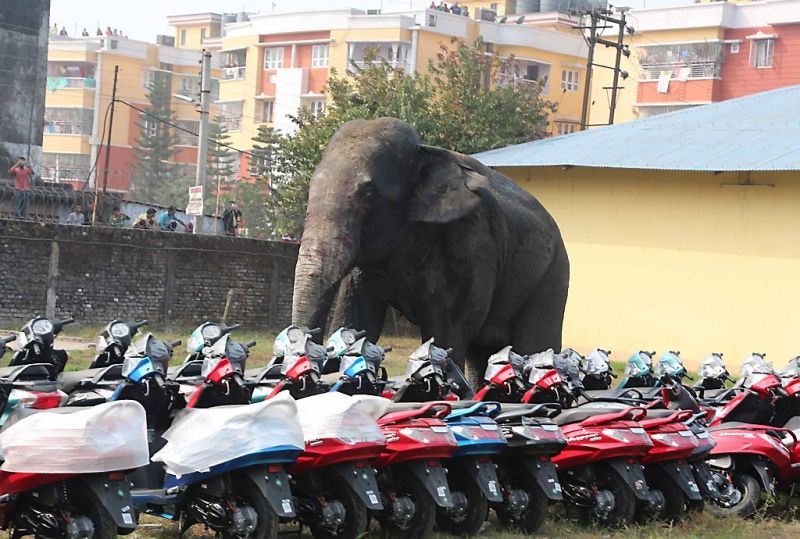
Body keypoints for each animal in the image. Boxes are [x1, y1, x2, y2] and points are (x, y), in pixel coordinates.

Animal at [292, 117, 568, 386]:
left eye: (368, 194)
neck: (423, 153)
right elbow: (358, 321)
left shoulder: (467, 246)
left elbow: (444, 337)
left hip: (552, 280)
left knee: (532, 345)